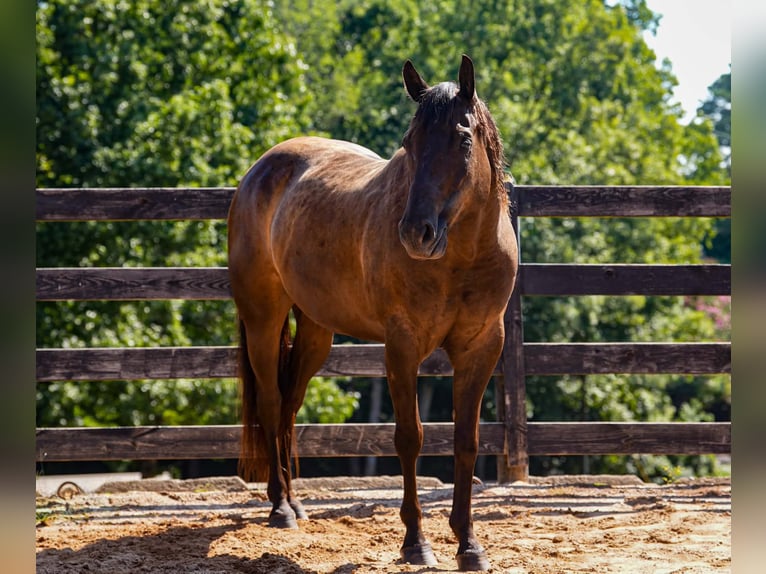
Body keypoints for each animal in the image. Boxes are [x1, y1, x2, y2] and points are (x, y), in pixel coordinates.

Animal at [227, 55, 518, 571]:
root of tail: (259, 171)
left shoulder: (482, 346)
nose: (417, 233)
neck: (462, 258)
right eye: (409, 142)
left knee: (288, 406)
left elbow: (466, 441)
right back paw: (281, 508)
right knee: (271, 402)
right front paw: (416, 542)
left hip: (315, 331)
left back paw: (297, 503)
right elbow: (410, 437)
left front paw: (469, 544)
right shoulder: (402, 346)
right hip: (263, 318)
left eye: (463, 139)